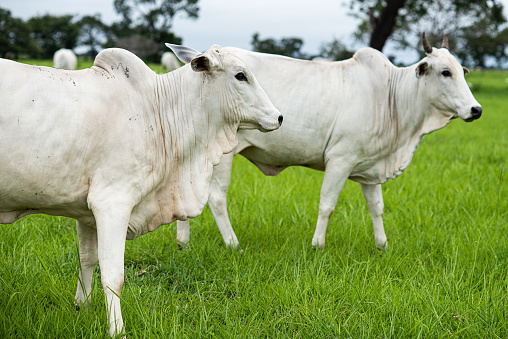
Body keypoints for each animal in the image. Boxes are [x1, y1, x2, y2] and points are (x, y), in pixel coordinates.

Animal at [0, 43, 282, 338]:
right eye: (240, 75)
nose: (279, 117)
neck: (155, 110)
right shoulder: (111, 203)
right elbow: (113, 275)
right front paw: (117, 330)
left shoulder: (85, 212)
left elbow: (86, 259)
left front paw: (82, 308)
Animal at [177, 33, 482, 252]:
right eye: (445, 72)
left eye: (462, 71)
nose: (476, 110)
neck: (390, 97)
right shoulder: (341, 159)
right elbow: (327, 204)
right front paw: (317, 245)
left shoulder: (370, 168)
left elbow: (377, 207)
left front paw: (382, 245)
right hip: (223, 155)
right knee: (217, 198)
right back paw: (233, 244)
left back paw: (184, 244)